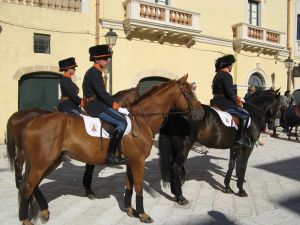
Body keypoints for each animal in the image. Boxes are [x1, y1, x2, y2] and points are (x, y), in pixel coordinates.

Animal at [7, 74, 204, 224]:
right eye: (188, 93)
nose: (201, 113)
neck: (142, 120)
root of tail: (33, 121)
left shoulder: (131, 161)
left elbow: (129, 185)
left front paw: (130, 210)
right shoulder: (138, 161)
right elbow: (139, 187)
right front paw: (142, 214)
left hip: (50, 161)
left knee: (32, 185)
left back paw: (44, 212)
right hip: (41, 162)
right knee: (28, 186)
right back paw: (26, 219)